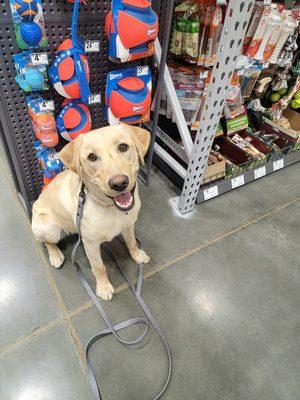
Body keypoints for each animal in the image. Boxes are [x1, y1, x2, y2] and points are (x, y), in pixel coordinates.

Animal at [31, 125, 150, 300]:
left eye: (123, 147)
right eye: (92, 157)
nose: (119, 183)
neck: (110, 208)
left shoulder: (129, 225)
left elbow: (132, 243)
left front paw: (137, 256)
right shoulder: (91, 244)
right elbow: (99, 267)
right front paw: (103, 288)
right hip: (50, 229)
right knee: (46, 242)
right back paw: (55, 255)